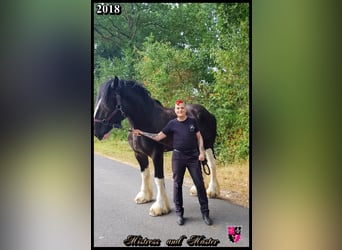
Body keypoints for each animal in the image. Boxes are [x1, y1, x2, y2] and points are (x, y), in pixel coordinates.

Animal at [93, 76, 219, 217]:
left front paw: (160, 207)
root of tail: (207, 113)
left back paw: (212, 191)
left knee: (212, 165)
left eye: (106, 104)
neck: (146, 122)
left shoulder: (156, 154)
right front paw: (144, 196)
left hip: (208, 145)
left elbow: (158, 178)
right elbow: (144, 174)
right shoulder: (139, 154)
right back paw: (196, 189)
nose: (96, 130)